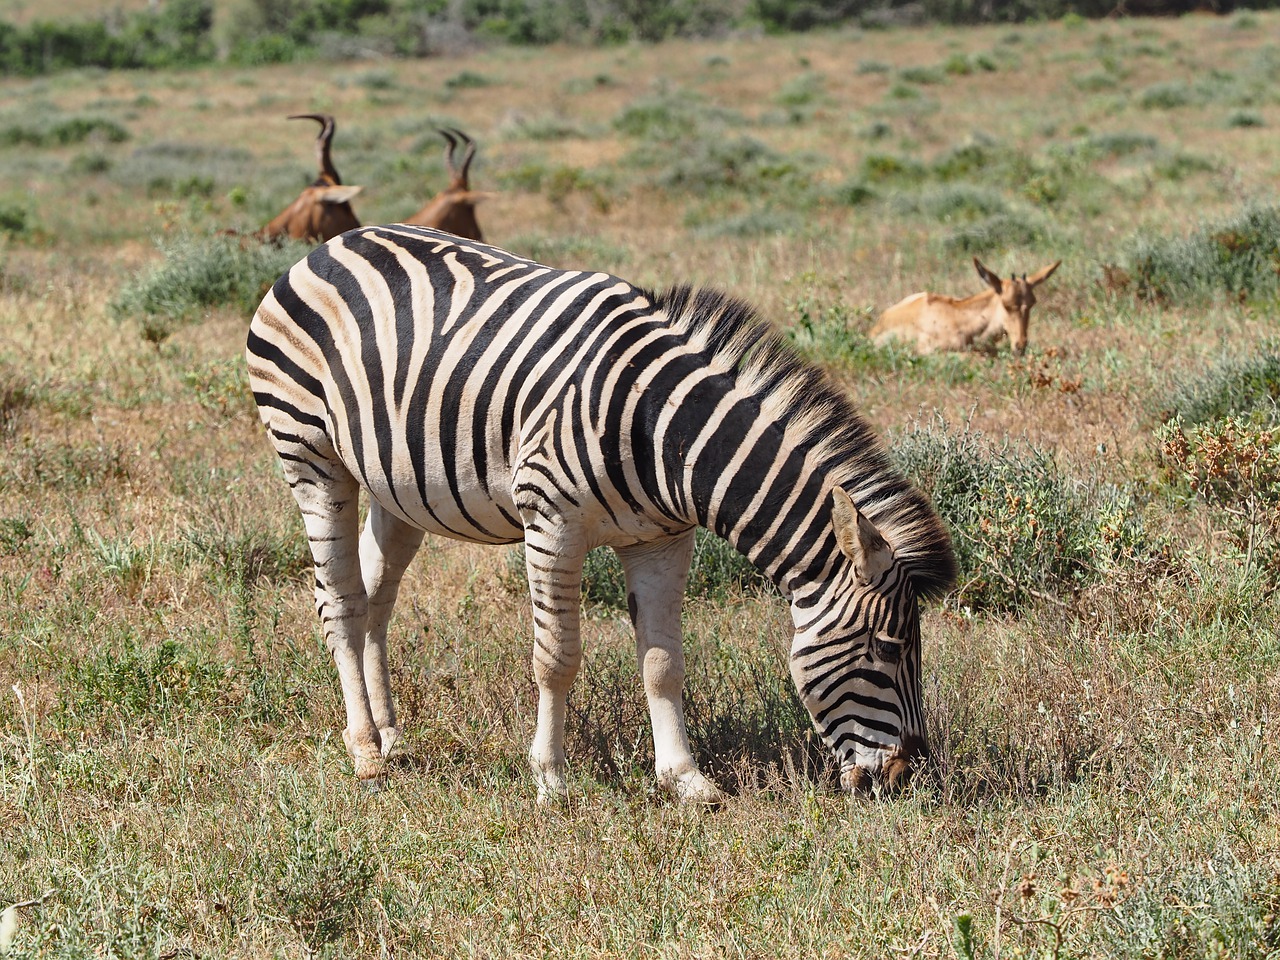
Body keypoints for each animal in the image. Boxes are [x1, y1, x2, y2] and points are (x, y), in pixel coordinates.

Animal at [244, 225, 957, 803]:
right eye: (887, 648)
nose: (905, 777)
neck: (664, 431)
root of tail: (327, 246)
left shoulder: (663, 540)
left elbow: (664, 662)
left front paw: (686, 779)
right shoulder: (551, 522)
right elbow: (555, 657)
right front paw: (551, 779)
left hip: (396, 485)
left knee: (375, 596)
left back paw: (389, 732)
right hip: (311, 457)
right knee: (340, 601)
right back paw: (366, 752)